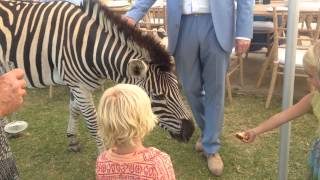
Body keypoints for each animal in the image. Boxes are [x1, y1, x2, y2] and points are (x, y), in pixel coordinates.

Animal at [0, 0, 195, 152]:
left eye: (177, 89)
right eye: (159, 96)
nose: (191, 131)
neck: (89, 46)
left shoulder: (75, 83)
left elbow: (74, 109)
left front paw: (72, 139)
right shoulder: (79, 85)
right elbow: (93, 123)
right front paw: (103, 155)